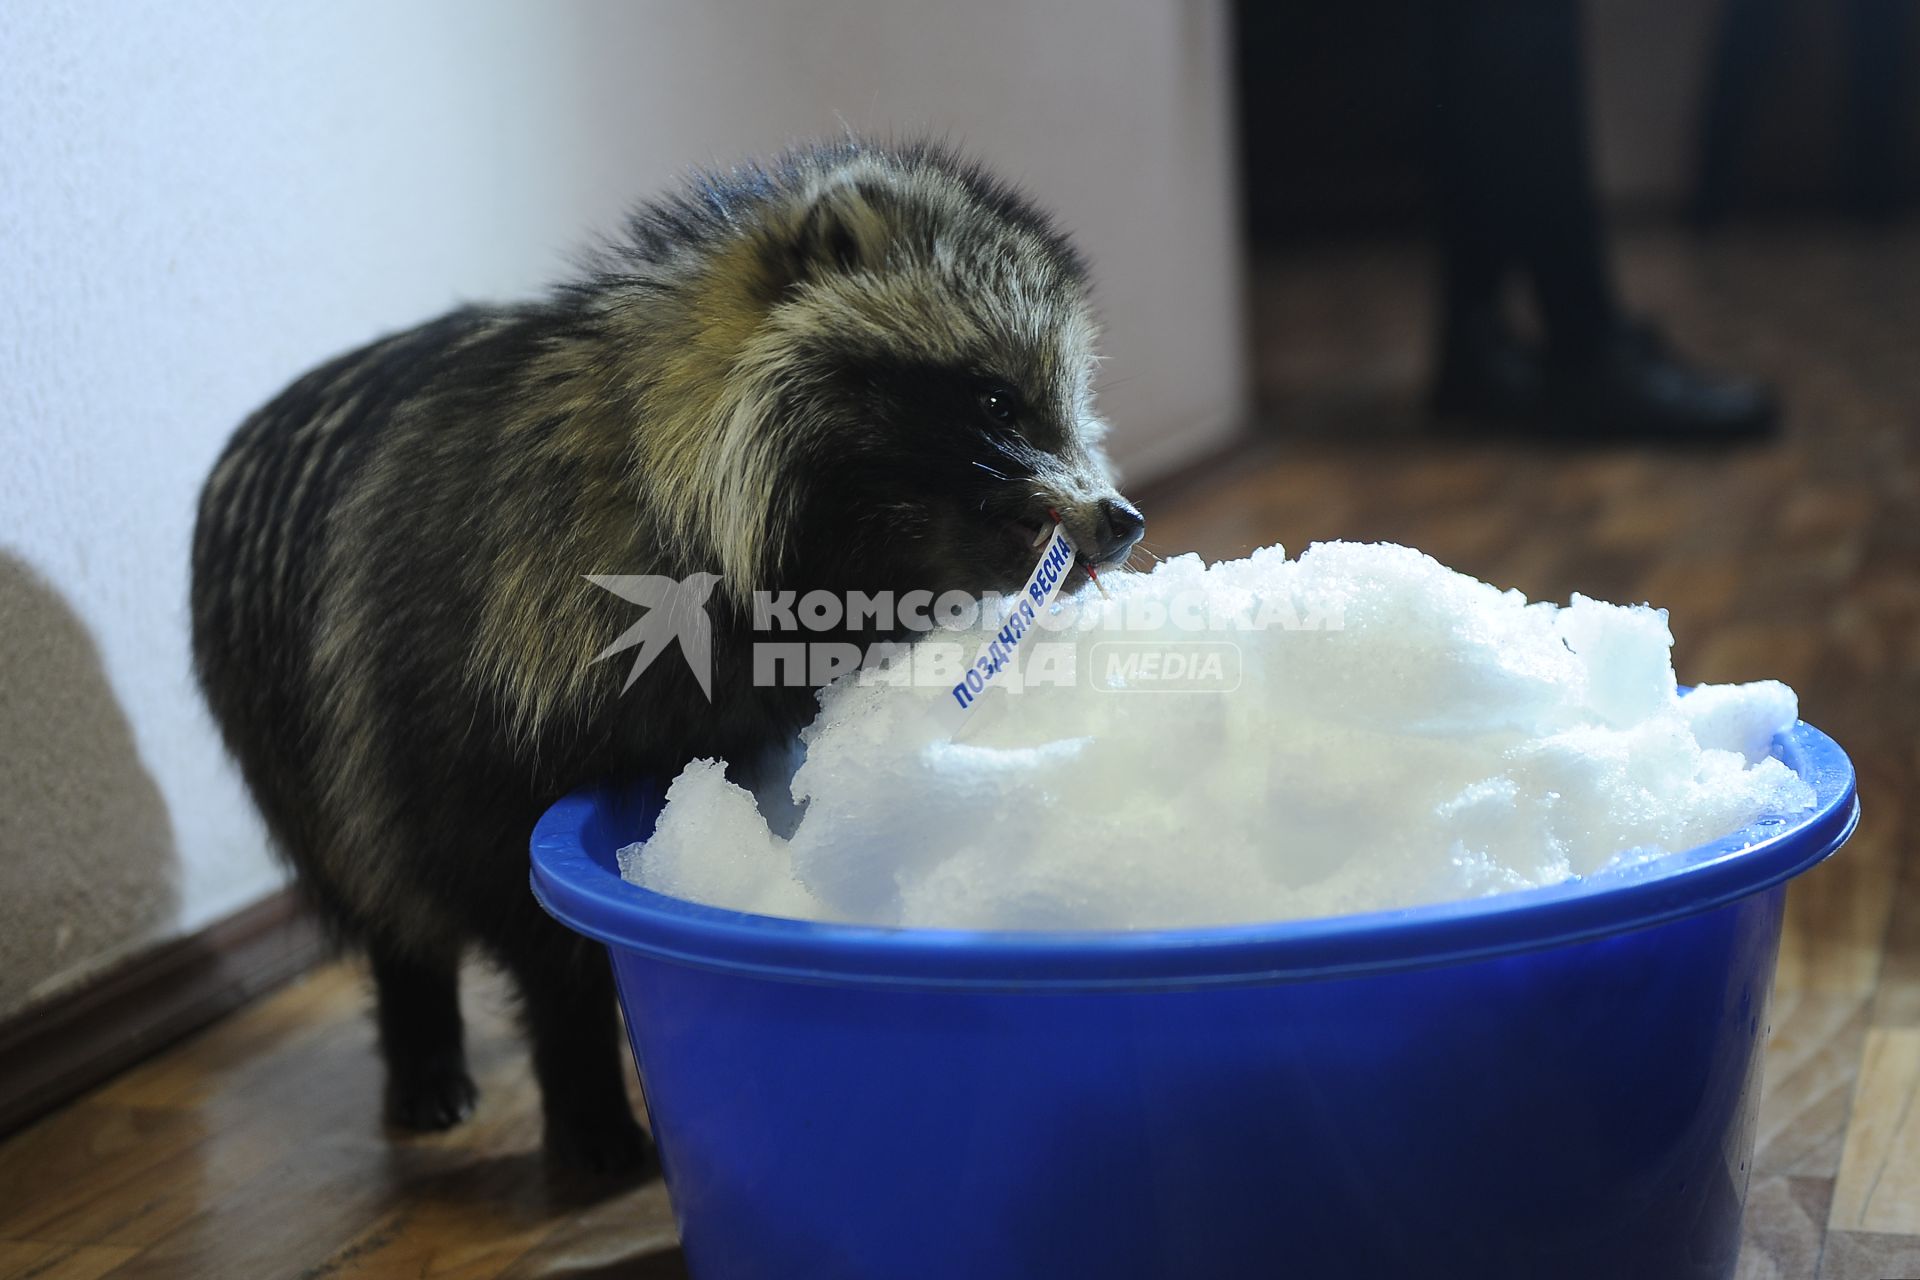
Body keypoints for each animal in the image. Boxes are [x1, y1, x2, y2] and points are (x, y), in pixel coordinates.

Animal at [185, 140, 1136, 1174]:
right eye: (999, 400)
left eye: (1072, 409)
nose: (1122, 519)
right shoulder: (463, 697)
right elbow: (530, 921)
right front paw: (584, 1082)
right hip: (299, 748)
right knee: (382, 890)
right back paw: (419, 1028)